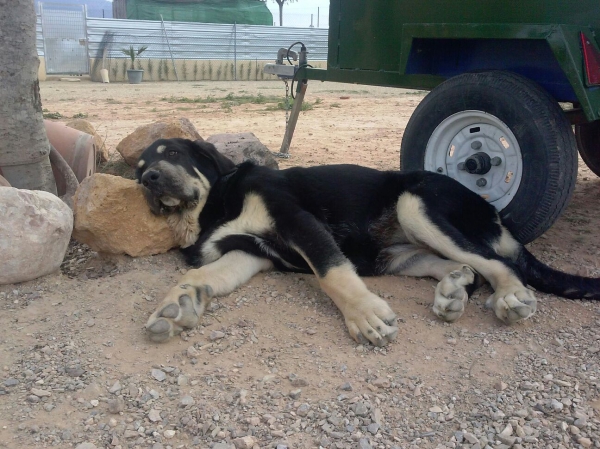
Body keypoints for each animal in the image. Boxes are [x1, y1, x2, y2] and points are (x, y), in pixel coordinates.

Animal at [137, 138, 600, 344]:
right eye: (138, 166)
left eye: (173, 154)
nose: (148, 179)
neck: (211, 207)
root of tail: (495, 214)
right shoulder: (248, 252)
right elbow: (201, 276)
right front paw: (178, 305)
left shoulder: (295, 220)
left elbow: (331, 272)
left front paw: (363, 316)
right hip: (398, 256)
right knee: (469, 268)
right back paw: (452, 292)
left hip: (415, 203)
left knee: (501, 264)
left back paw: (507, 296)